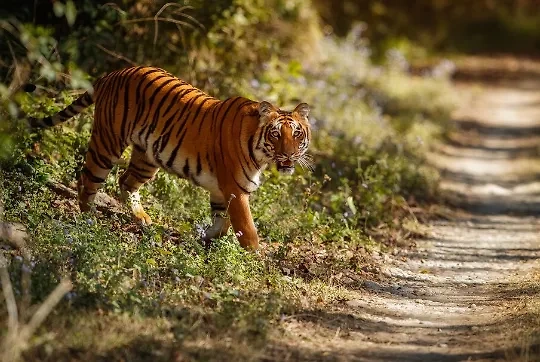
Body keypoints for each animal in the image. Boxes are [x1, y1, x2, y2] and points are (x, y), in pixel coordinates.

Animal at [28, 65, 312, 250]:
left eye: (297, 133)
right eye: (276, 134)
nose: (289, 154)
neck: (260, 154)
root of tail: (113, 73)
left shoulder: (221, 190)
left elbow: (222, 223)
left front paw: (205, 239)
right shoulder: (235, 188)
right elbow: (248, 230)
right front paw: (253, 259)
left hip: (147, 158)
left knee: (126, 181)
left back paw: (142, 219)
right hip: (107, 143)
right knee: (87, 181)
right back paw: (89, 221)